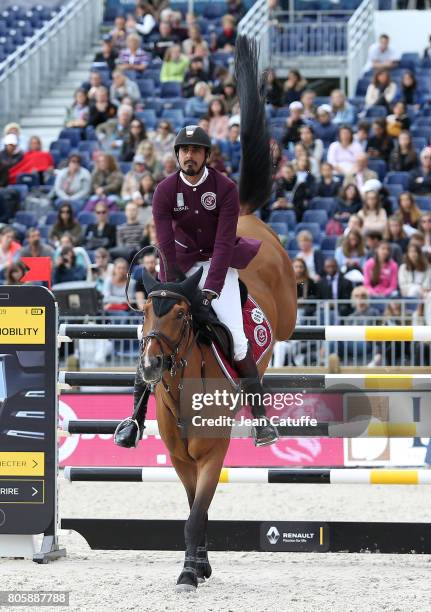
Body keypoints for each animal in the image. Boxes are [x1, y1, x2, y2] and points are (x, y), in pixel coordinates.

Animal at [138, 35, 296, 592]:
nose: (151, 366)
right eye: (144, 315)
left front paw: (190, 570)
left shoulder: (211, 454)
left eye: (183, 319)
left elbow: (197, 512)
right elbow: (193, 509)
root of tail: (247, 216)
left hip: (278, 301)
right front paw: (199, 563)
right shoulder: (180, 456)